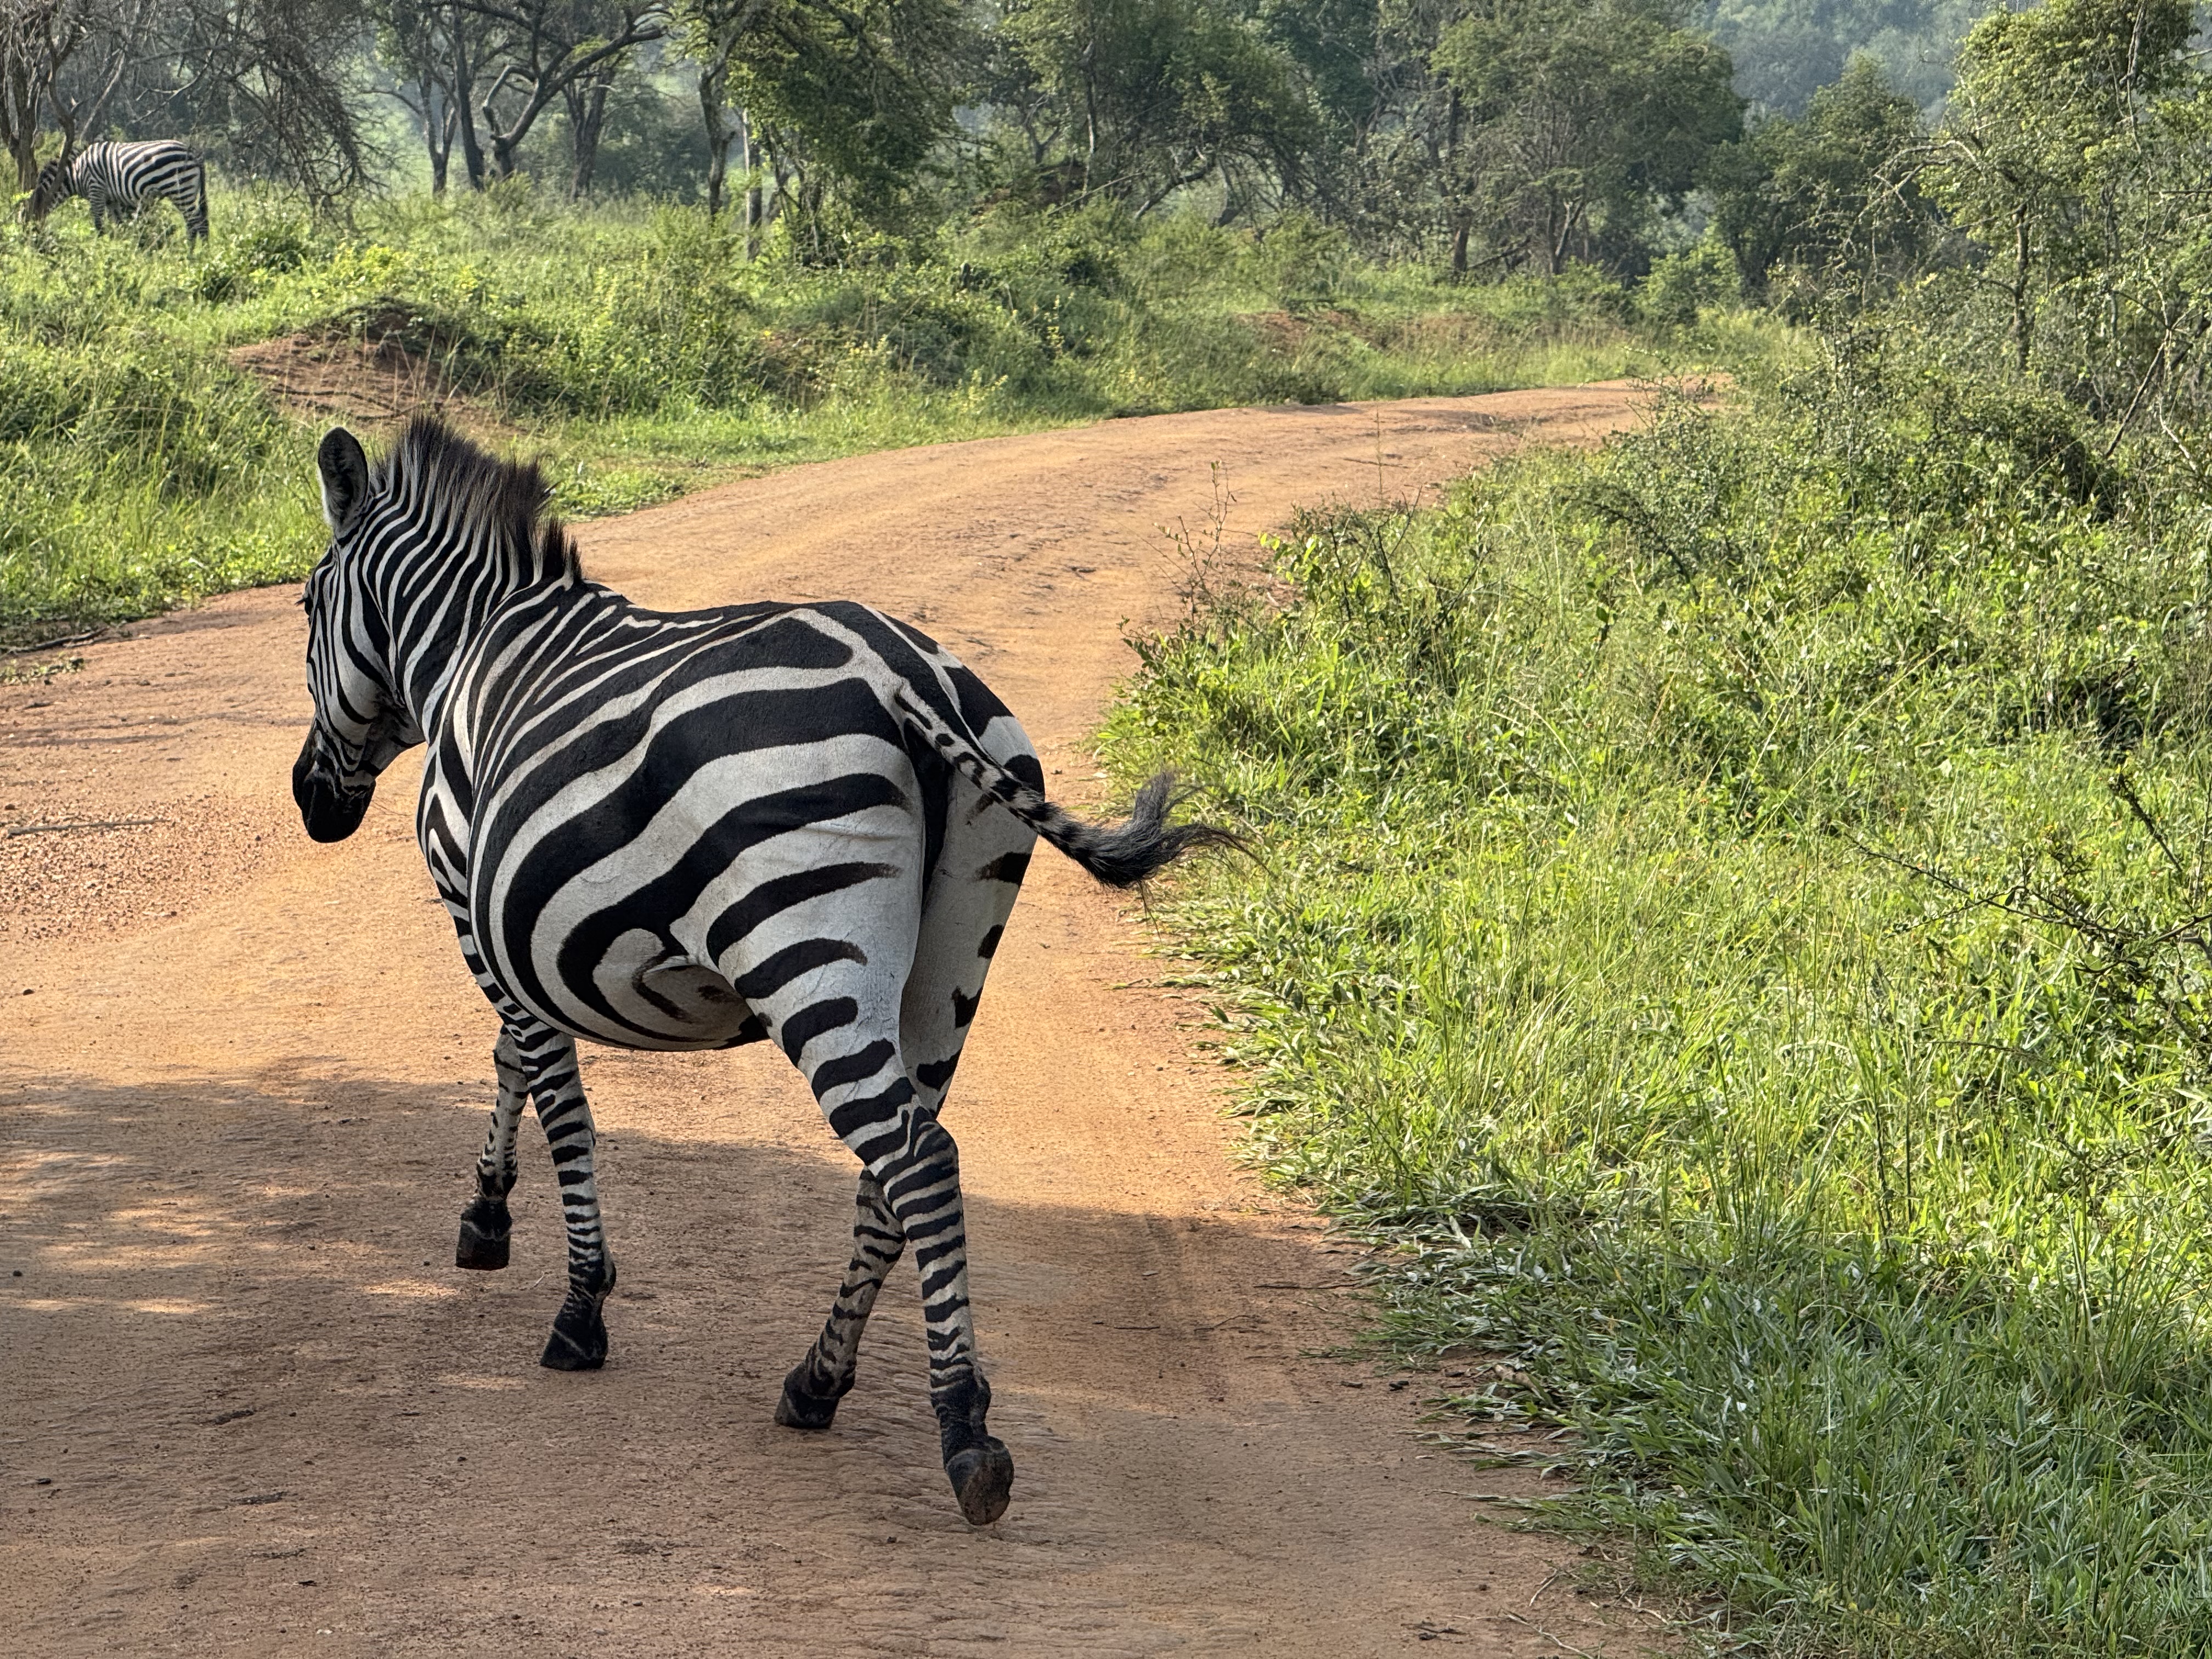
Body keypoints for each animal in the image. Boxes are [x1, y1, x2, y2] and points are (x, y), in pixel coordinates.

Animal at [28, 141, 209, 243]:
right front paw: (120, 248)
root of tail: (194, 154)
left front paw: (100, 247)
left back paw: (191, 254)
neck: (76, 173)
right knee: (202, 221)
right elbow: (119, 225)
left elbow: (99, 224)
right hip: (189, 190)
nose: (31, 240)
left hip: (180, 189)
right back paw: (203, 253)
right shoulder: (111, 199)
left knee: (194, 222)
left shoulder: (96, 189)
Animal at [290, 416, 1237, 1525]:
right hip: (952, 962)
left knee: (916, 1159)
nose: (312, 802)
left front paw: (576, 1301)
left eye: (307, 606)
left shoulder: (477, 909)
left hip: (805, 950)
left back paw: (965, 1432)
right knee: (900, 1169)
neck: (476, 650)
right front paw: (489, 1219)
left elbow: (552, 1089)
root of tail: (906, 674)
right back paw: (818, 1380)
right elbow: (518, 1065)